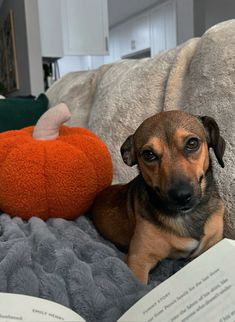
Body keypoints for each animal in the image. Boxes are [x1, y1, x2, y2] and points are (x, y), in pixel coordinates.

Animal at [91, 111, 225, 284]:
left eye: (192, 143)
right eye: (149, 155)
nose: (181, 196)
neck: (187, 216)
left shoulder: (214, 242)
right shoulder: (138, 259)